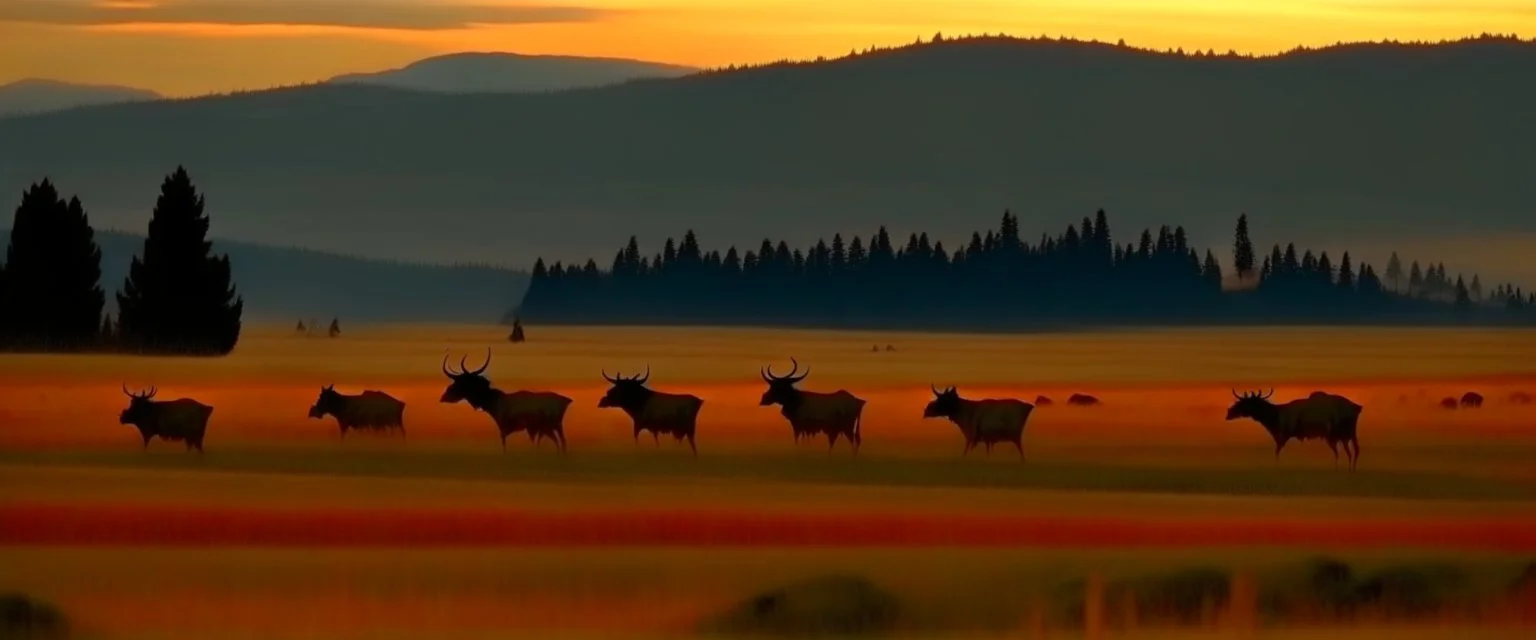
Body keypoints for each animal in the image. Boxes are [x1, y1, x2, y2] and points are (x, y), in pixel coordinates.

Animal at [442, 346, 574, 451]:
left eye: (463, 382)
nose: (444, 396)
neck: (493, 403)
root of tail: (567, 401)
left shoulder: (519, 428)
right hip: (554, 426)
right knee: (562, 441)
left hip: (549, 426)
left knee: (559, 442)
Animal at [1228, 383, 1363, 469]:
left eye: (1245, 402)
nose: (1229, 413)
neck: (1274, 418)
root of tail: (1358, 407)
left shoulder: (1284, 434)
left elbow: (1277, 451)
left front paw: (1277, 465)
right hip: (1345, 434)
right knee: (1353, 451)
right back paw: (1351, 469)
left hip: (1338, 433)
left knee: (1349, 451)